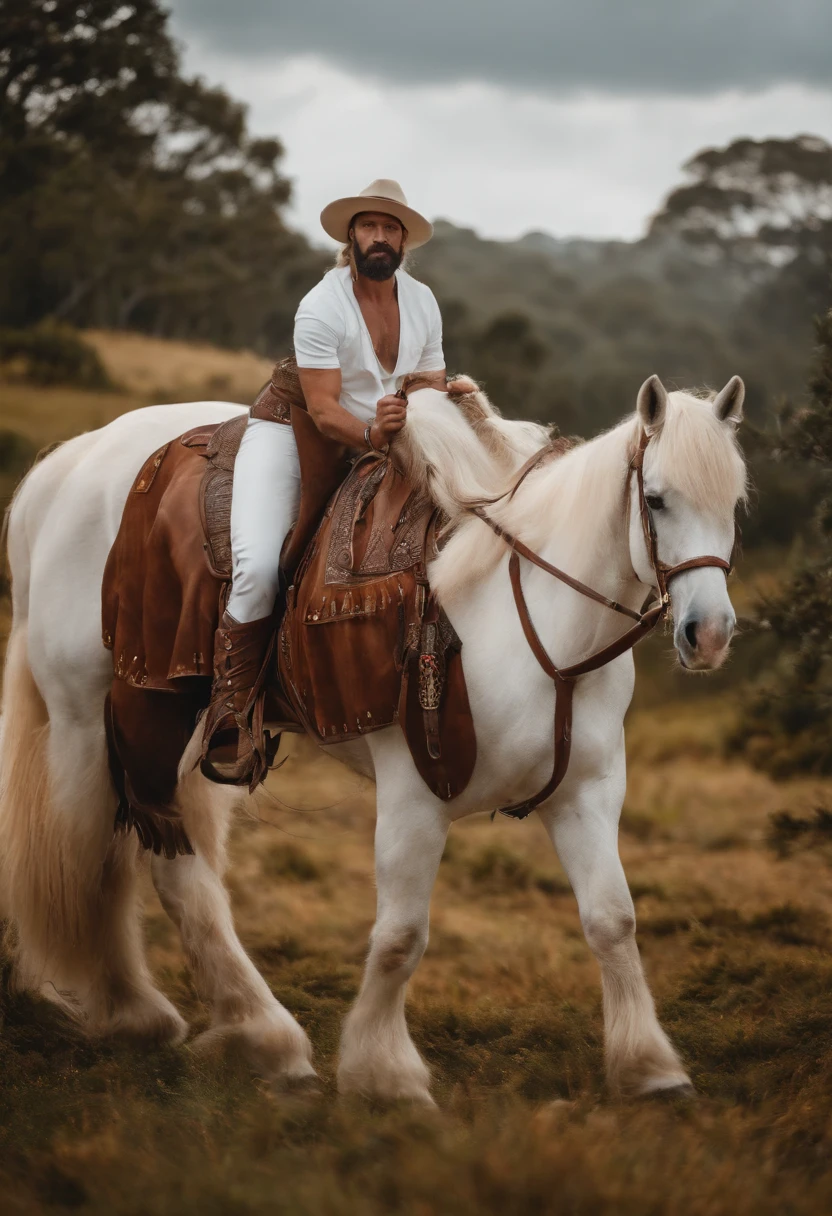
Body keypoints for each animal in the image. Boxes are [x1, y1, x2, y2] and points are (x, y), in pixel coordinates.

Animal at [0, 372, 749, 1104]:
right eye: (655, 500)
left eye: (735, 506)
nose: (708, 634)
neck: (530, 612)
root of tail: (65, 468)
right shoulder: (415, 799)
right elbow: (399, 938)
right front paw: (384, 1074)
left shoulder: (586, 794)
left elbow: (612, 920)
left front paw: (649, 1066)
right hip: (100, 717)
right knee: (102, 860)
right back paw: (136, 1011)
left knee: (175, 868)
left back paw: (257, 1033)